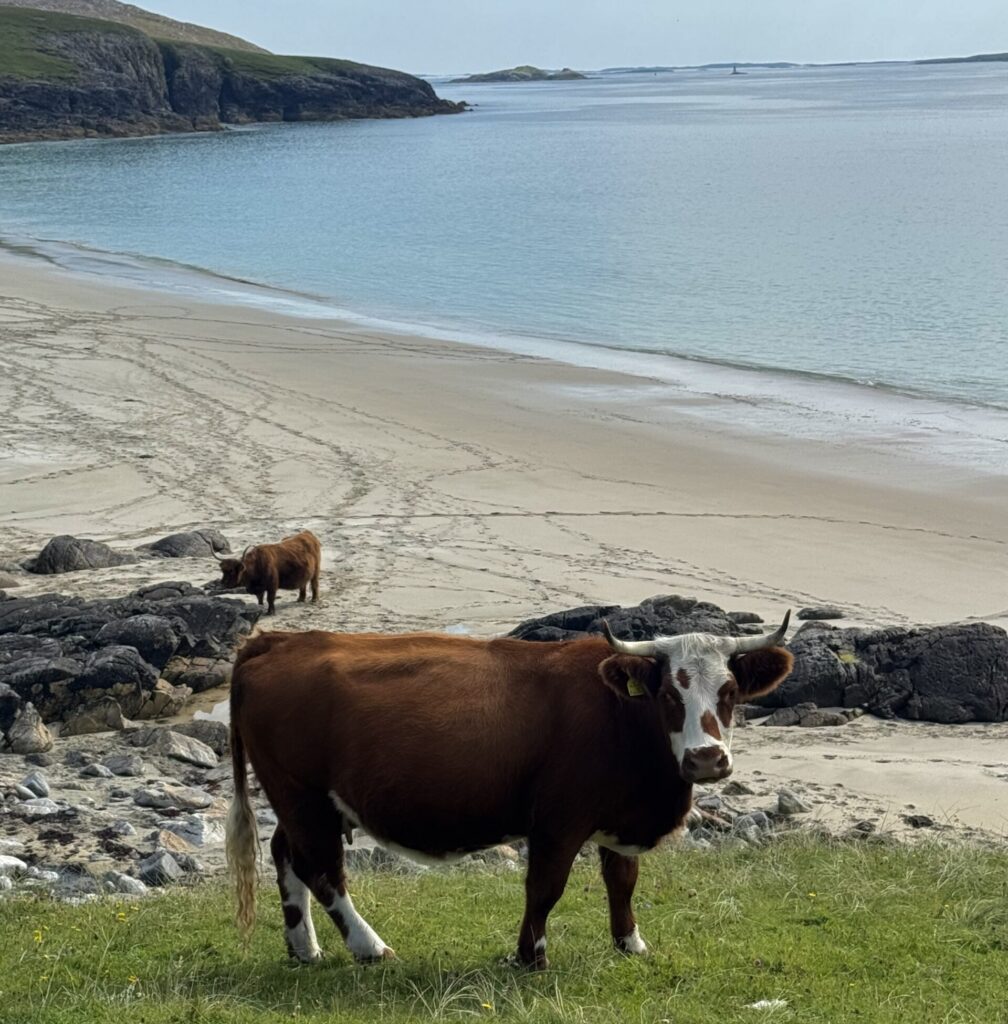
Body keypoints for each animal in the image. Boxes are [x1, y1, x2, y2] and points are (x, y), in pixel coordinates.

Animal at [226, 613, 793, 968]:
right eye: (670, 694)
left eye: (730, 692)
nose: (707, 760)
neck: (619, 714)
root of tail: (278, 640)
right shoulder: (558, 822)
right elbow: (545, 888)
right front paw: (530, 955)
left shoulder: (616, 818)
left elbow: (622, 881)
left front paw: (630, 942)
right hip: (302, 795)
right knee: (321, 870)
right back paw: (369, 946)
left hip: (302, 803)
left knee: (286, 855)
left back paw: (304, 948)